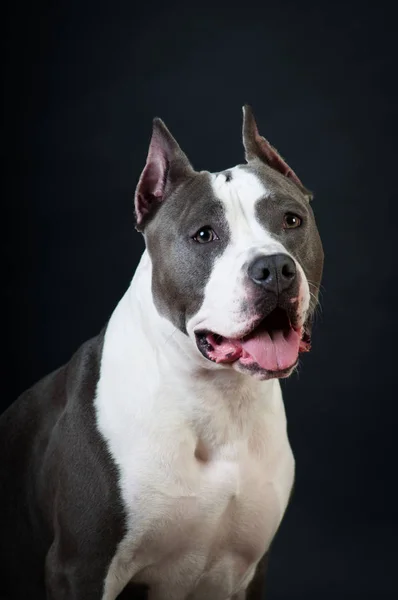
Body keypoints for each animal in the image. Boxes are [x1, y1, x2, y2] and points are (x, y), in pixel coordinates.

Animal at [0, 105, 324, 596]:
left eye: (291, 220)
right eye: (204, 235)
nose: (274, 269)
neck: (218, 402)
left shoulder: (248, 572)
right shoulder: (79, 568)